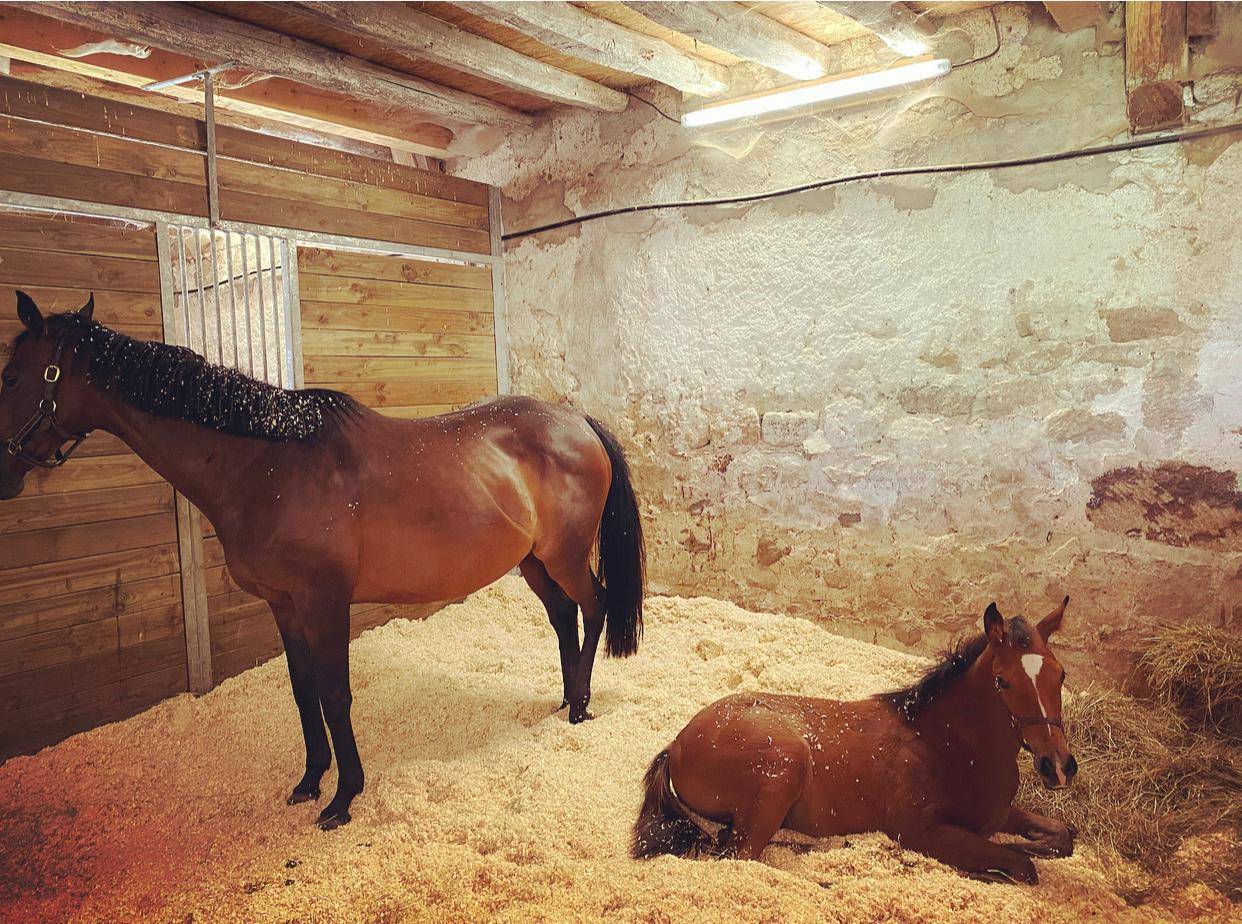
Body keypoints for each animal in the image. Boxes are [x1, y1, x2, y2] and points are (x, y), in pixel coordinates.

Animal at [0, 292, 645, 829]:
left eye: (9, 376)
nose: (4, 472)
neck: (267, 467)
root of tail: (576, 420)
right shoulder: (284, 605)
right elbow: (302, 689)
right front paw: (311, 780)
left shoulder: (324, 602)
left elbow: (335, 692)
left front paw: (344, 797)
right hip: (534, 562)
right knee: (563, 616)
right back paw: (567, 696)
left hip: (564, 557)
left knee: (594, 607)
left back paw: (580, 707)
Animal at [633, 598, 1077, 884]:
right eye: (1003, 681)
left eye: (1061, 674)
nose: (1058, 766)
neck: (945, 744)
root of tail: (676, 745)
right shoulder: (921, 832)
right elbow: (1022, 867)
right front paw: (991, 868)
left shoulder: (999, 816)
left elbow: (1063, 836)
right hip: (786, 765)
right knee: (739, 857)